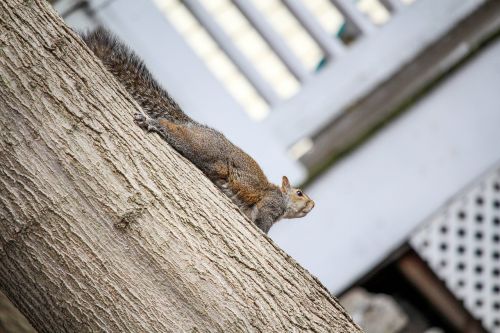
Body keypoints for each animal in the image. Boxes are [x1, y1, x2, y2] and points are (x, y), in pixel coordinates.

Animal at [82, 27, 314, 231]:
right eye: (300, 193)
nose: (313, 206)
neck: (282, 200)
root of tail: (193, 124)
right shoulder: (269, 205)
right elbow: (261, 224)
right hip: (204, 149)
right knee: (174, 131)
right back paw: (154, 123)